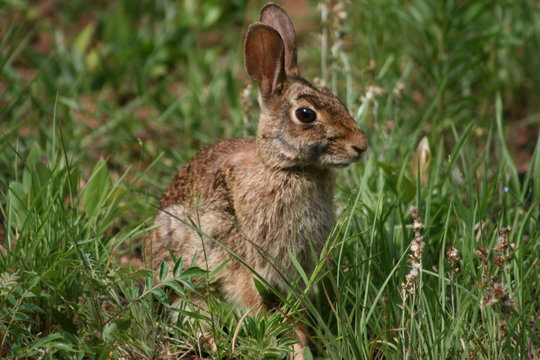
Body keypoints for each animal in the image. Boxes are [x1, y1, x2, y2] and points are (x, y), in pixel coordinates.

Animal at [144, 2, 368, 358]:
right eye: (306, 114)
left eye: (336, 99)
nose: (360, 145)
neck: (285, 168)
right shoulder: (244, 265)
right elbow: (255, 306)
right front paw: (288, 346)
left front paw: (301, 345)